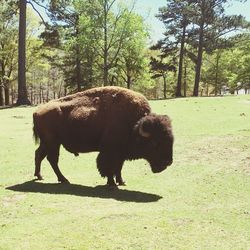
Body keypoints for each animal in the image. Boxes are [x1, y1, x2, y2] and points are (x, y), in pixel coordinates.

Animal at [32, 87, 174, 187]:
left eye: (171, 140)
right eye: (155, 142)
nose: (168, 162)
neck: (134, 124)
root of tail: (37, 111)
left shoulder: (121, 152)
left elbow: (119, 167)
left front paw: (121, 181)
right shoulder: (110, 151)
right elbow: (109, 166)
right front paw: (111, 184)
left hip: (47, 143)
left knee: (39, 155)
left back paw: (39, 176)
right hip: (53, 143)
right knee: (52, 159)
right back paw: (63, 179)